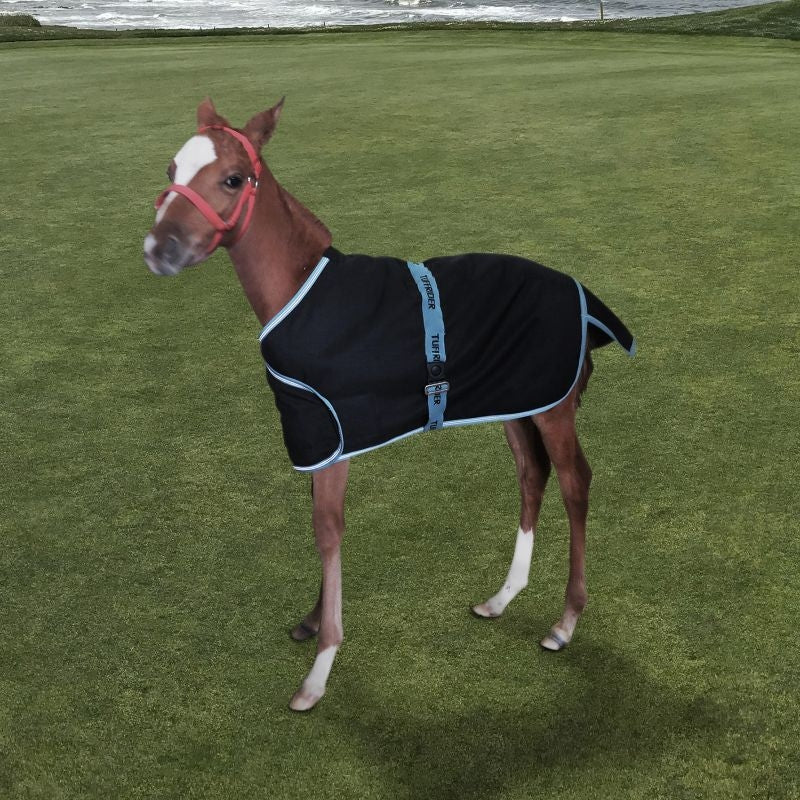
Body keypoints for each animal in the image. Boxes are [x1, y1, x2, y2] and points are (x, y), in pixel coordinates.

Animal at [143, 98, 636, 712]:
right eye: (171, 169)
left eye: (233, 179)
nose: (159, 250)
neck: (299, 289)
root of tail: (583, 294)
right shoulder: (318, 435)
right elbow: (320, 522)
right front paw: (312, 620)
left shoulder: (330, 437)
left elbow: (327, 530)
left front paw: (319, 671)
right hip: (519, 403)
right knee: (532, 475)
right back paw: (502, 597)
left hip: (554, 408)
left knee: (574, 482)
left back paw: (565, 622)